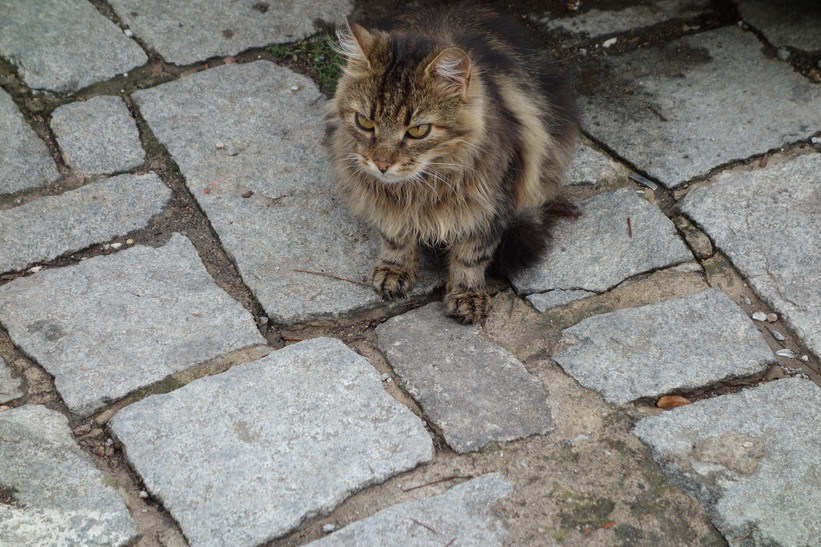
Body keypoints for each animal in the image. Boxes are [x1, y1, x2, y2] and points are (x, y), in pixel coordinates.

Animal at [324, 2, 580, 324]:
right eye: (364, 122)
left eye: (418, 131)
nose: (381, 164)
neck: (420, 188)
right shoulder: (386, 205)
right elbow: (396, 239)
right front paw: (395, 270)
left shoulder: (489, 208)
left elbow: (470, 257)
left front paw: (467, 296)